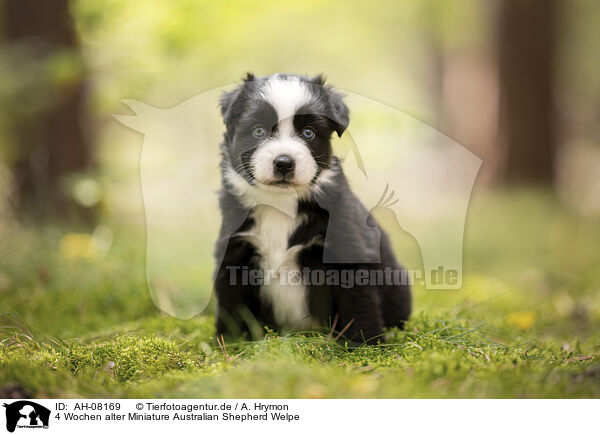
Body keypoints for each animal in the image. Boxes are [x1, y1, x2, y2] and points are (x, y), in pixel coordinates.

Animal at [213, 73, 410, 346]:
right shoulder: (234, 251)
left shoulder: (346, 248)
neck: (281, 205)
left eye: (308, 133)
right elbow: (233, 304)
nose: (284, 163)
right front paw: (230, 342)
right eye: (258, 130)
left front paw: (363, 342)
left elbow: (358, 303)